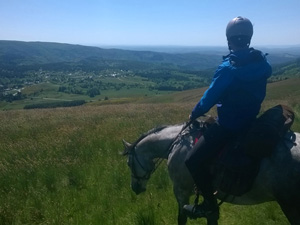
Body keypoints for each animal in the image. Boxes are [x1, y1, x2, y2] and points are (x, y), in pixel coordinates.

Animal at [122, 123, 300, 225]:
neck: (177, 144)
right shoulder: (209, 197)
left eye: (129, 163)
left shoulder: (181, 191)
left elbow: (182, 218)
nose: (135, 187)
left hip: (290, 205)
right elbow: (212, 217)